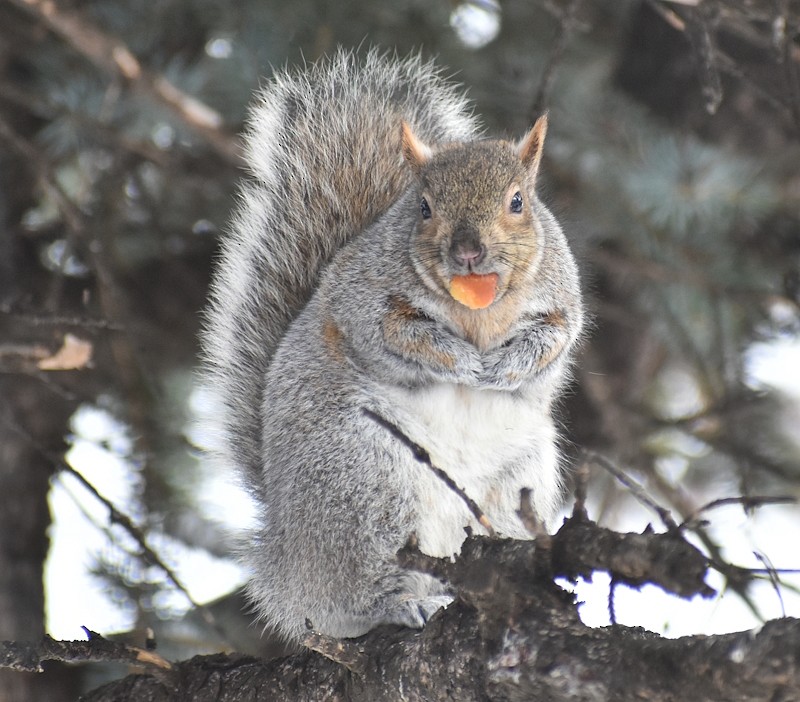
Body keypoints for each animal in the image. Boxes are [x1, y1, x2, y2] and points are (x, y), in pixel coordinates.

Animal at [201, 49, 584, 643]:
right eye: (423, 208)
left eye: (518, 202)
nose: (468, 251)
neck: (478, 310)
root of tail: (285, 573)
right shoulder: (363, 300)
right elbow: (397, 337)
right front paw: (461, 361)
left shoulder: (561, 304)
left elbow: (552, 346)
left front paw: (503, 366)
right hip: (364, 480)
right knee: (357, 591)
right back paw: (398, 605)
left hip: (514, 486)